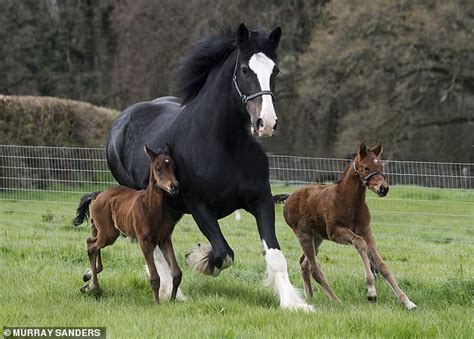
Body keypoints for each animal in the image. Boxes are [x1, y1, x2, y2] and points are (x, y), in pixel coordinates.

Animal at [73, 145, 182, 304]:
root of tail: (98, 194)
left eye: (174, 167)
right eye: (158, 168)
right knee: (92, 246)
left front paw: (172, 300)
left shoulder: (164, 239)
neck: (152, 207)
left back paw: (89, 278)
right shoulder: (144, 241)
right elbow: (155, 277)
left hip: (105, 232)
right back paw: (94, 286)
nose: (174, 186)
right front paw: (157, 303)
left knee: (90, 241)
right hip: (108, 234)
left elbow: (176, 273)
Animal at [106, 22, 312, 312]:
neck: (226, 145)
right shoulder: (200, 207)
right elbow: (223, 253)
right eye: (244, 69)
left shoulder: (261, 201)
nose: (266, 123)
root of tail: (121, 120)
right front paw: (198, 257)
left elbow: (275, 256)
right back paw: (171, 291)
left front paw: (294, 304)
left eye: (275, 70)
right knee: (152, 246)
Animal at [276, 143, 416, 310]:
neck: (348, 201)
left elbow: (381, 264)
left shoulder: (366, 231)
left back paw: (310, 296)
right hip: (303, 233)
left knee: (304, 264)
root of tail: (289, 198)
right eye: (366, 167)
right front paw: (371, 292)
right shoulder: (336, 232)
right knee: (314, 268)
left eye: (381, 166)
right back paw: (336, 300)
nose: (384, 188)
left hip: (316, 237)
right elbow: (360, 244)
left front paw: (407, 302)